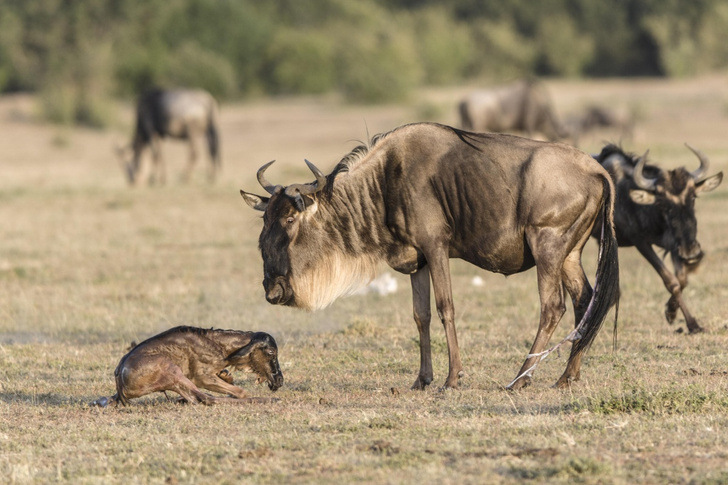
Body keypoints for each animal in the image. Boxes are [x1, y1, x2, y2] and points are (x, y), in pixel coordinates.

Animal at [91, 326, 284, 404]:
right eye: (271, 352)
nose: (280, 381)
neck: (217, 344)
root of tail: (119, 377)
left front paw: (226, 375)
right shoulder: (202, 378)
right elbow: (241, 391)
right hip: (171, 369)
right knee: (206, 399)